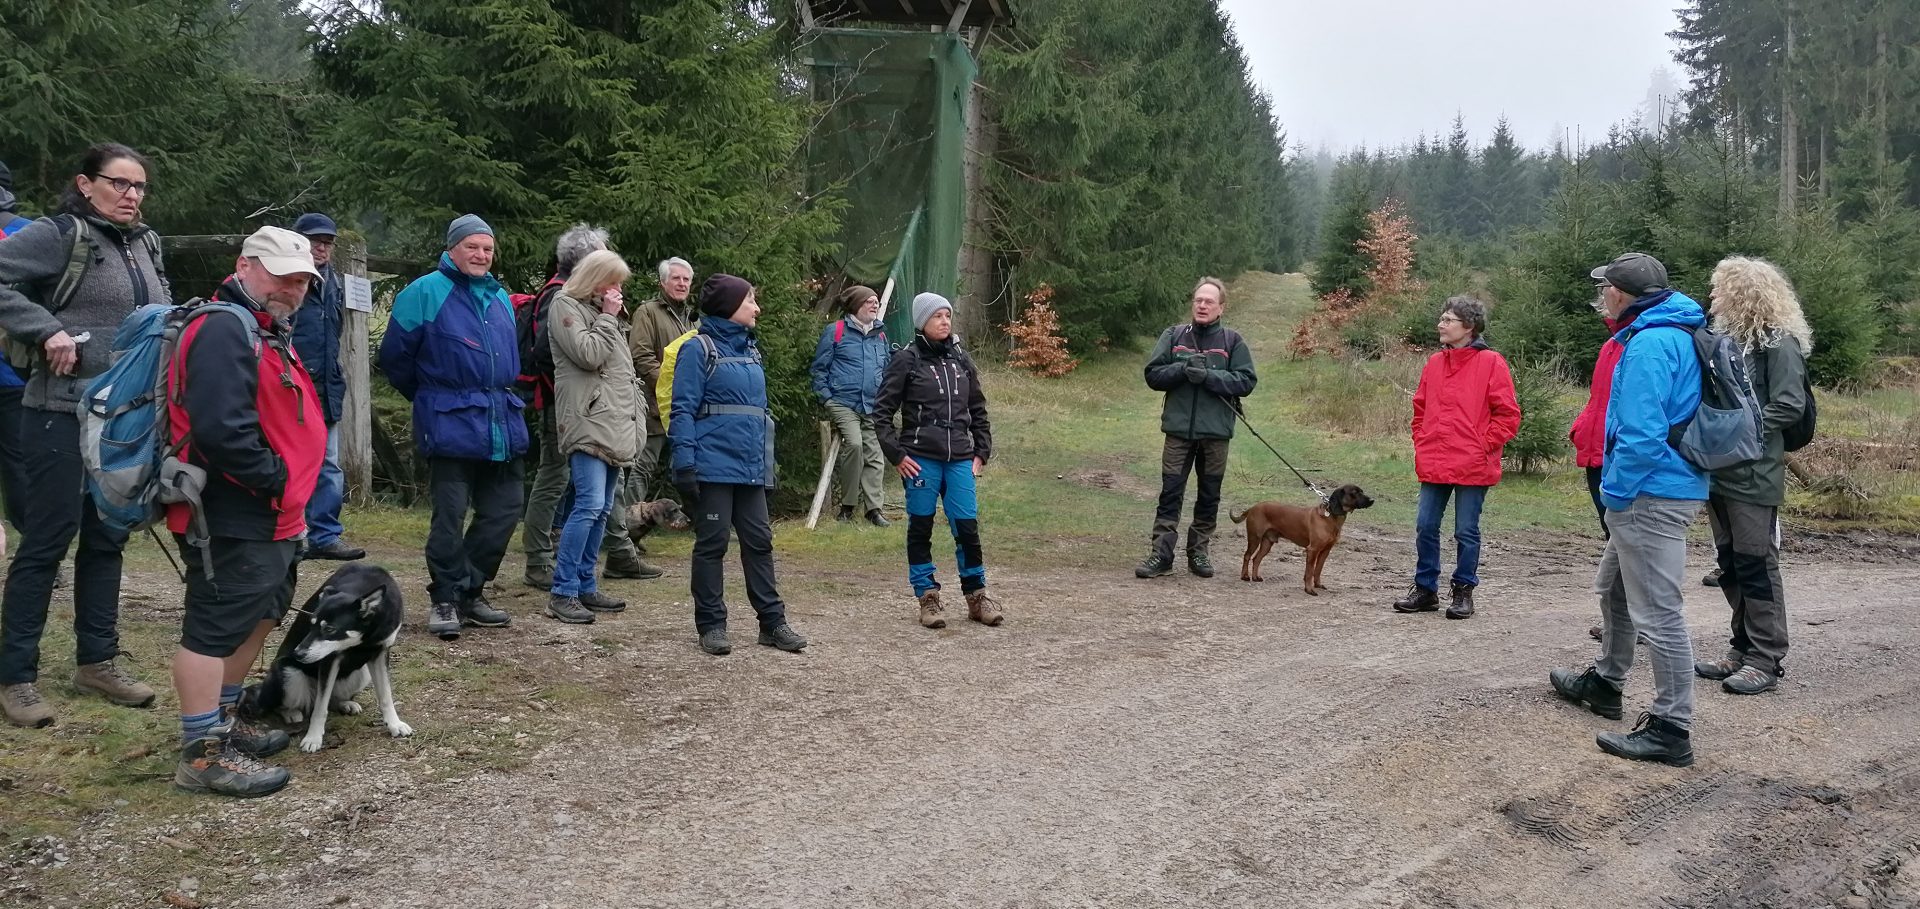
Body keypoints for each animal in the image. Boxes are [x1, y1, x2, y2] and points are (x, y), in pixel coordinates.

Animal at [1236, 486, 1374, 591]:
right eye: (1354, 492)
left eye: (1362, 491)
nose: (1373, 500)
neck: (1330, 517)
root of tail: (1253, 507)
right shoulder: (1313, 550)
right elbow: (1309, 572)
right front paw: (1309, 590)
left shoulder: (1325, 551)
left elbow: (1318, 570)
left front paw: (1318, 585)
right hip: (1254, 538)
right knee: (1247, 556)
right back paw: (1245, 576)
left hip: (1267, 542)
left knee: (1256, 559)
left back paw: (1255, 577)